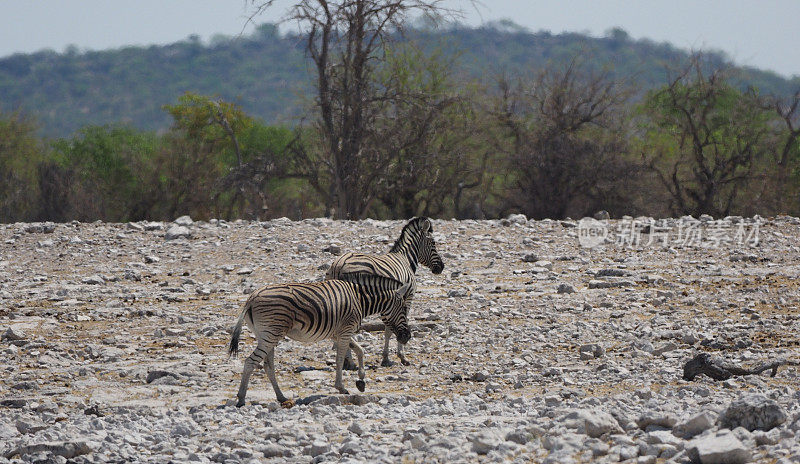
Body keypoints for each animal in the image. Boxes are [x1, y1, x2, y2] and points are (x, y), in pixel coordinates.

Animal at [228, 274, 410, 408]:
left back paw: (281, 397)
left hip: (266, 335)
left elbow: (360, 350)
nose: (407, 337)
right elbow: (340, 359)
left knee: (268, 366)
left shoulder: (338, 333)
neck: (359, 299)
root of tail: (252, 297)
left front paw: (361, 380)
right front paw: (341, 387)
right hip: (271, 334)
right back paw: (241, 399)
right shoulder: (345, 330)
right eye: (403, 309)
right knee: (250, 362)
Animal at [328, 216, 446, 368]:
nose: (441, 267)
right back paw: (351, 361)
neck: (405, 259)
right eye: (433, 243)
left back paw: (348, 362)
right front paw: (397, 356)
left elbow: (389, 327)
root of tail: (339, 264)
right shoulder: (406, 298)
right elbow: (392, 328)